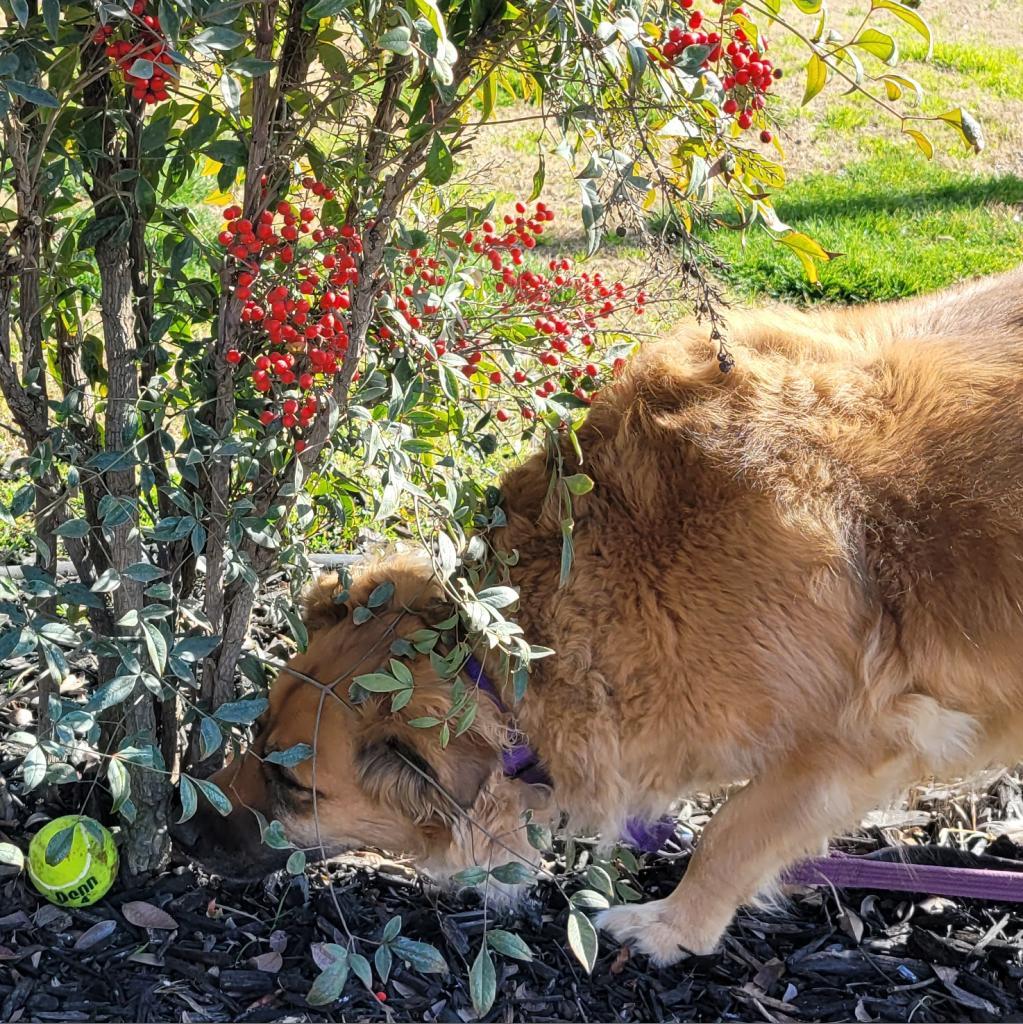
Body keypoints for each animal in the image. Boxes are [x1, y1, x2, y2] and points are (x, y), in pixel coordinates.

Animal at [176, 268, 1023, 962]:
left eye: (297, 789)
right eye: (254, 734)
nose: (181, 833)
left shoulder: (856, 743)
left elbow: (732, 831)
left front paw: (673, 928)